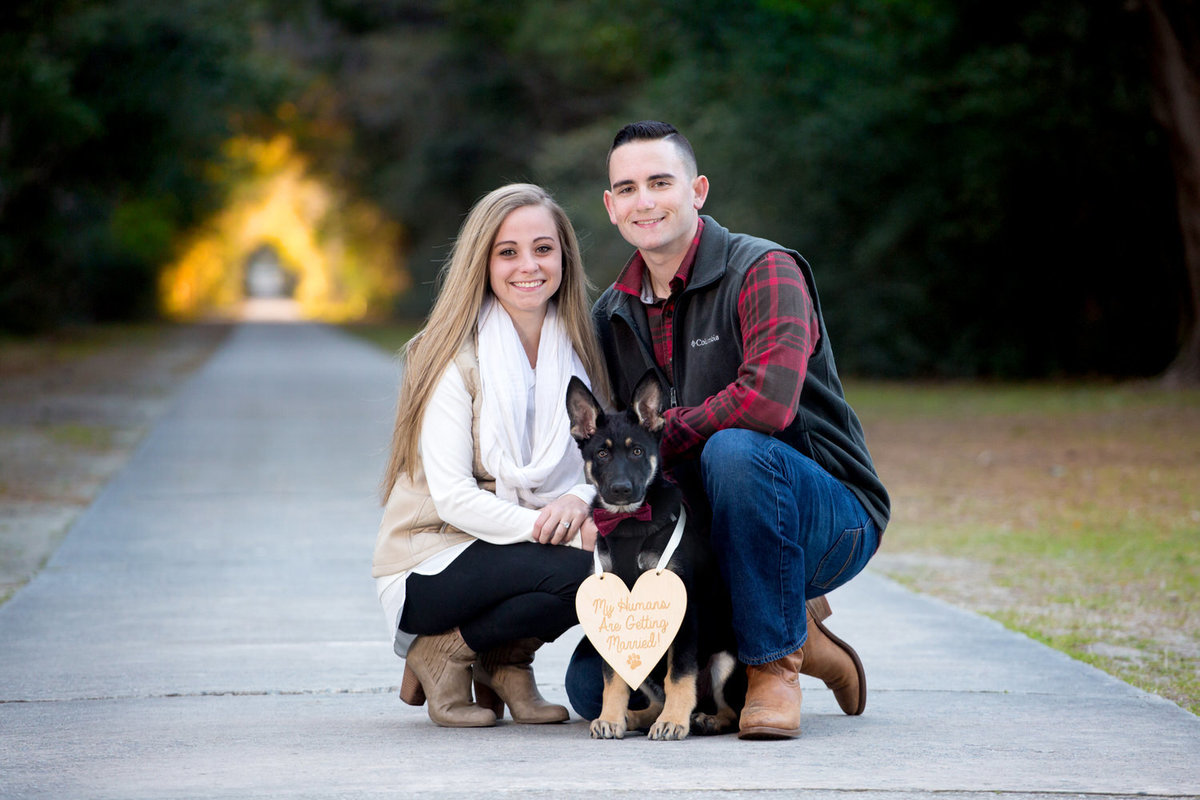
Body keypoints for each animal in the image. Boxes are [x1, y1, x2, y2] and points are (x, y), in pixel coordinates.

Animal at [561, 374, 739, 738]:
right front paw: (611, 718)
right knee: (651, 695)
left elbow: (680, 674)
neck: (629, 523)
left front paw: (673, 722)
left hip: (725, 659)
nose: (621, 490)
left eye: (638, 451)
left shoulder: (685, 610)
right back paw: (635, 717)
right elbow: (612, 677)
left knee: (728, 710)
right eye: (602, 453)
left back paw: (704, 719)